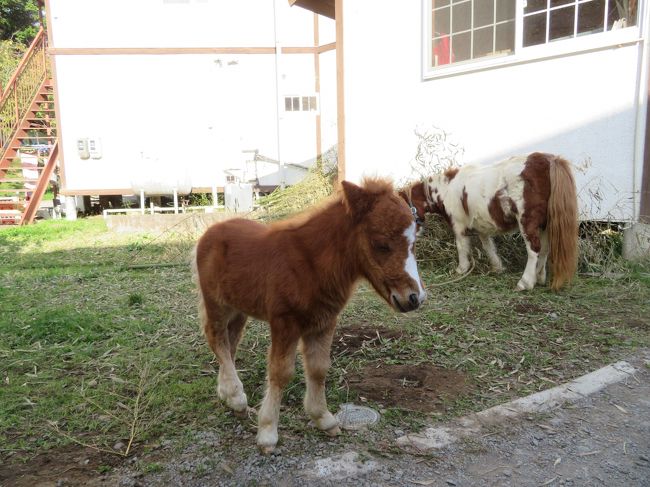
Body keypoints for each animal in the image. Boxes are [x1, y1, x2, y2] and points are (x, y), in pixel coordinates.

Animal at [192, 178, 426, 454]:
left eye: (413, 244)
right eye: (381, 244)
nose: (414, 298)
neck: (311, 264)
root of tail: (210, 231)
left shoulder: (324, 322)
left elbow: (318, 369)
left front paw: (323, 419)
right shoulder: (285, 322)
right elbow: (281, 373)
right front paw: (268, 432)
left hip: (238, 309)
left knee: (230, 343)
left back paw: (227, 395)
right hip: (216, 303)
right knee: (216, 339)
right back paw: (237, 398)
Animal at [400, 152, 576, 290]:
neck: (445, 189)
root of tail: (548, 160)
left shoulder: (458, 225)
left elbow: (461, 246)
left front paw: (461, 270)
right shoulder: (481, 226)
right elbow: (488, 246)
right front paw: (497, 267)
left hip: (527, 222)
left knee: (534, 249)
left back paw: (525, 282)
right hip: (545, 224)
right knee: (545, 249)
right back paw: (539, 278)